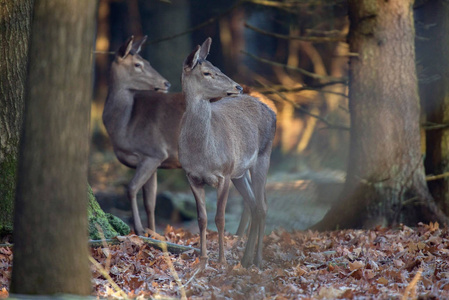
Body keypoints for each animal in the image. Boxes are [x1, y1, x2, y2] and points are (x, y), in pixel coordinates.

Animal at [103, 35, 254, 237]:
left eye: (146, 62)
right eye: (138, 64)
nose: (165, 83)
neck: (124, 124)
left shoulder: (154, 152)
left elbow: (131, 188)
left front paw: (140, 230)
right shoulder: (152, 160)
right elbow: (150, 201)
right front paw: (152, 231)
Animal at [179, 37, 276, 268]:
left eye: (219, 68)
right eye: (207, 72)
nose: (237, 86)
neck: (202, 153)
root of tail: (273, 112)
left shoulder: (223, 174)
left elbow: (220, 218)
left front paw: (221, 260)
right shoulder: (191, 176)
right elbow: (202, 218)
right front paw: (203, 258)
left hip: (263, 156)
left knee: (262, 206)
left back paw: (257, 258)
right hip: (239, 172)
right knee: (252, 205)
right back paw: (245, 258)